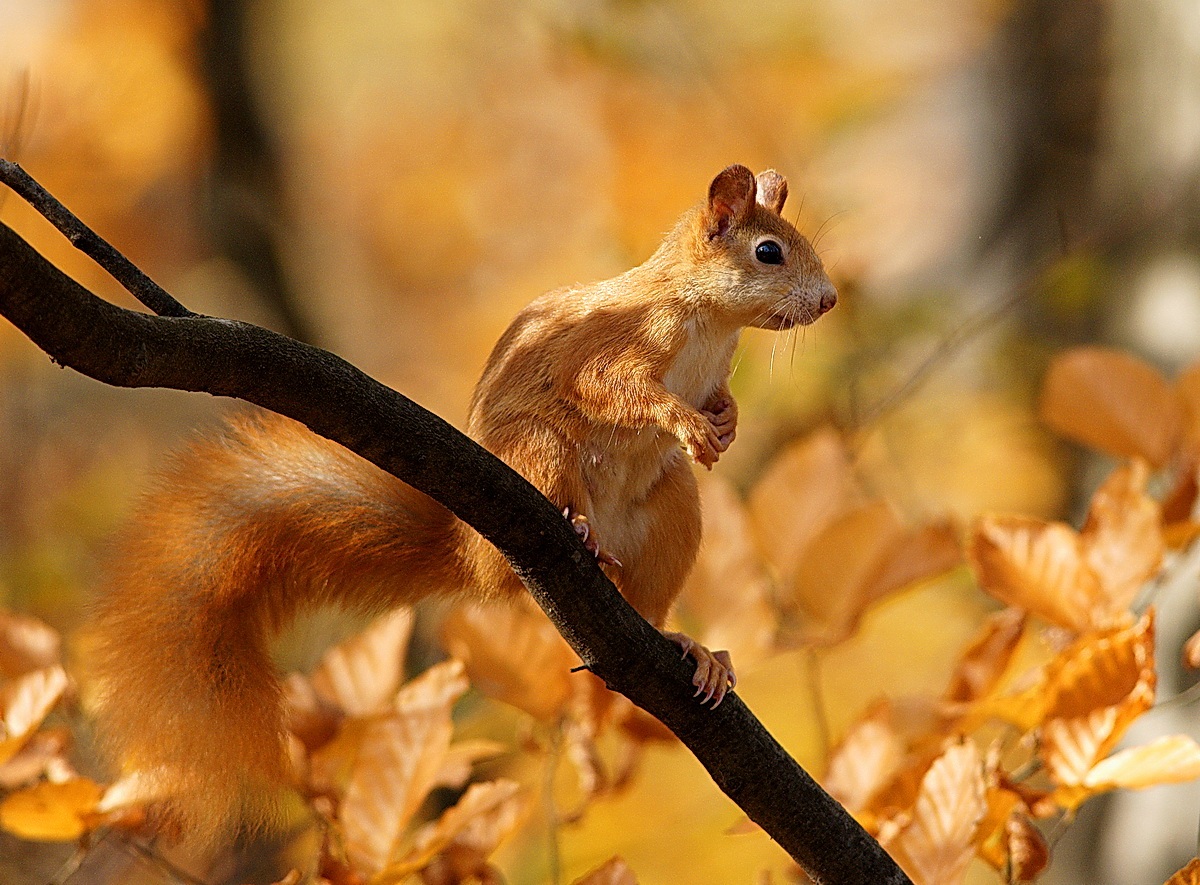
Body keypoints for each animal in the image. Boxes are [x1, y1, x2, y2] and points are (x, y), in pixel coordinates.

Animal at [85, 164, 837, 843]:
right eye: (768, 251)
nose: (829, 300)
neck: (708, 321)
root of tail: (474, 553)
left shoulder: (711, 374)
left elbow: (719, 400)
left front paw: (725, 425)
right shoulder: (617, 346)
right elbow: (613, 388)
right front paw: (683, 422)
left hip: (673, 513)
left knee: (650, 607)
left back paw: (690, 649)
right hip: (540, 448)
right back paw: (581, 532)